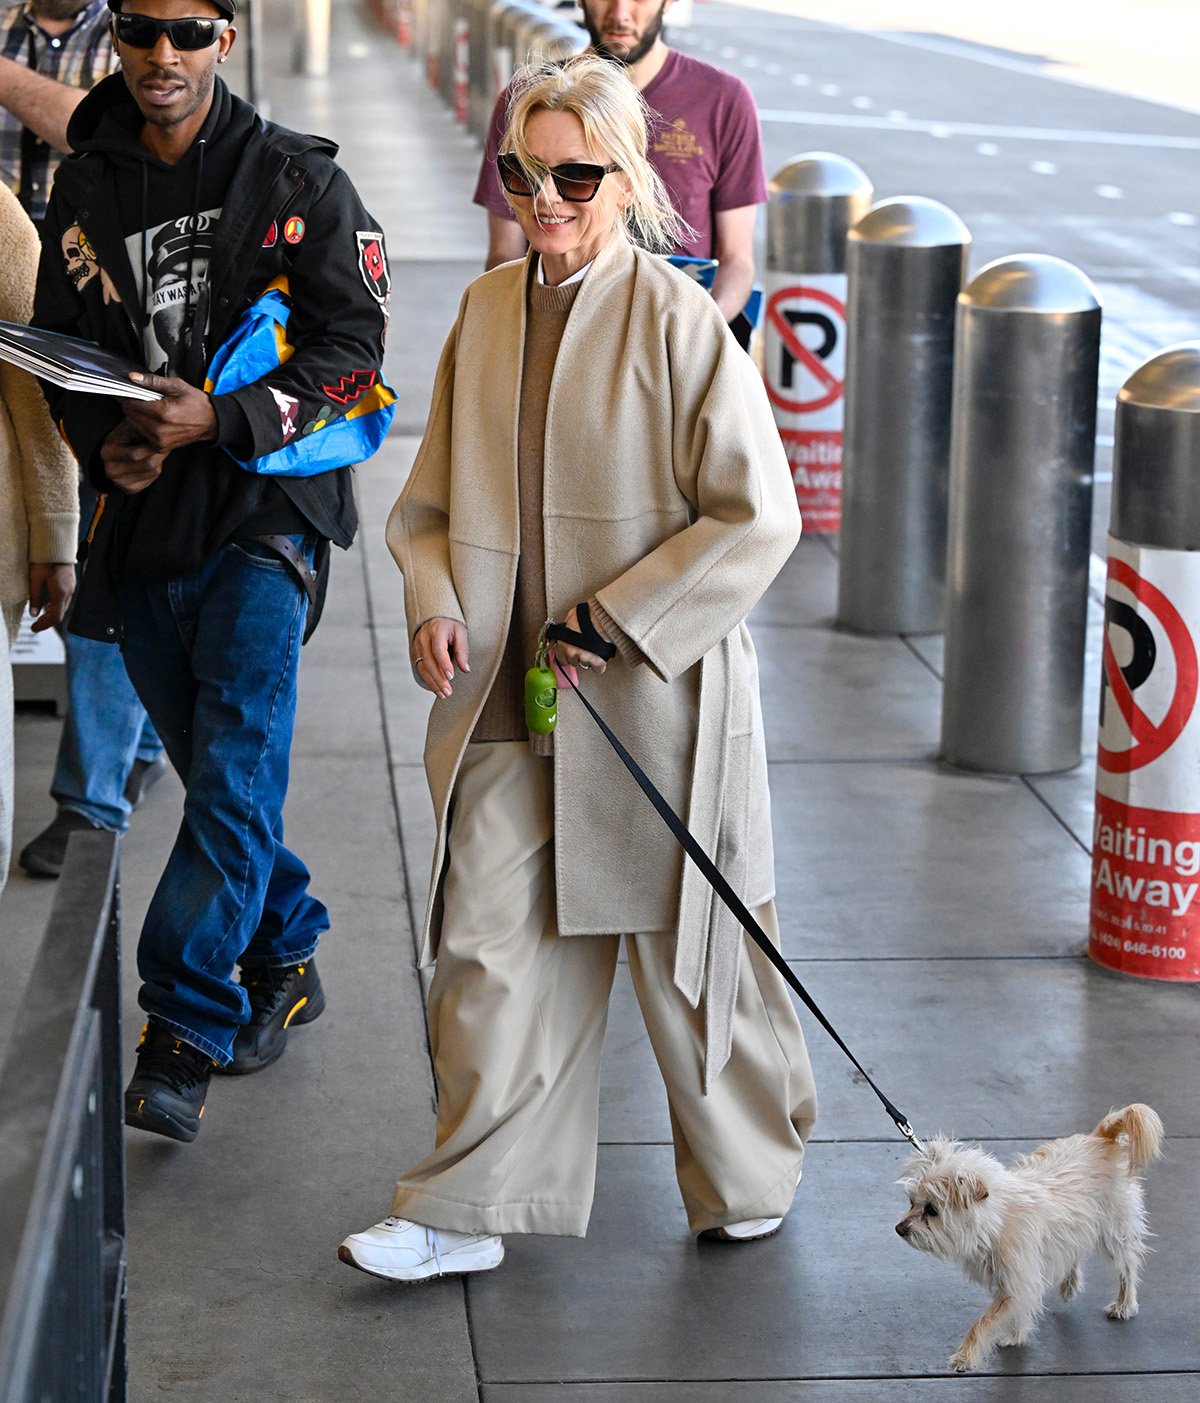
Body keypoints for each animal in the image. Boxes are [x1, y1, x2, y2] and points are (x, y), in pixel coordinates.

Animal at [898, 1105, 1167, 1369]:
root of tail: (1100, 1137)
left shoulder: (1017, 1282)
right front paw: (1016, 1335)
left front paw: (966, 1356)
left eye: (932, 1210)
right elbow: (1015, 1312)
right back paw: (1070, 1284)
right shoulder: (1013, 1283)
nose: (899, 1229)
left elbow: (985, 1322)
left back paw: (1124, 1304)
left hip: (1114, 1233)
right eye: (912, 1202)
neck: (997, 1220)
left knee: (1127, 1267)